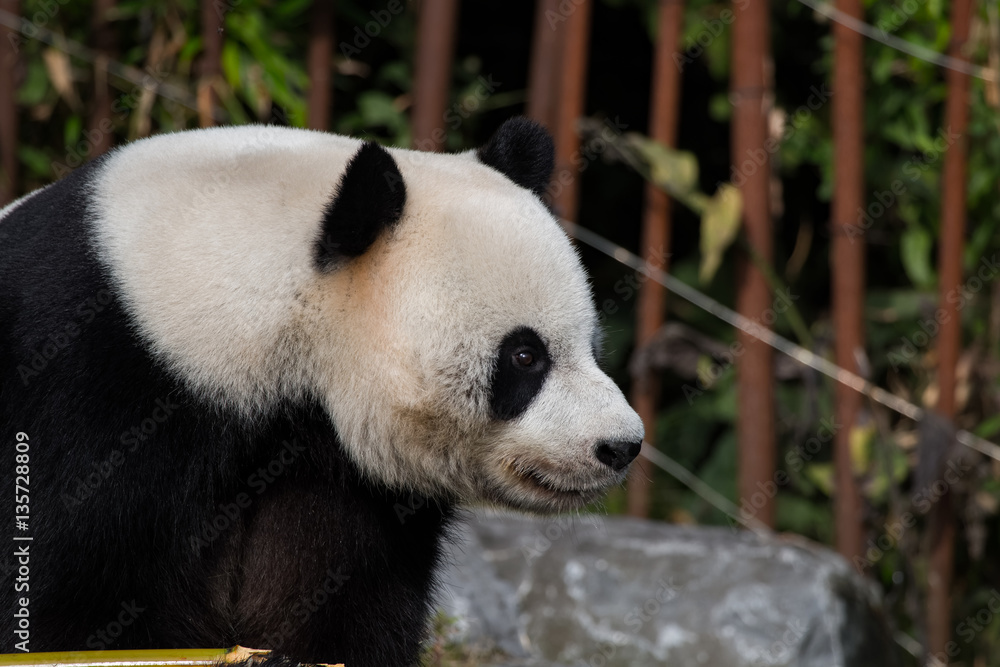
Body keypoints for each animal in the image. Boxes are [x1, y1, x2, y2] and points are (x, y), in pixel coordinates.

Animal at [0, 118, 643, 666]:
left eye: (591, 345)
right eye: (525, 356)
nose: (622, 446)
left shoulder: (341, 474)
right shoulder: (99, 393)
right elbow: (70, 601)